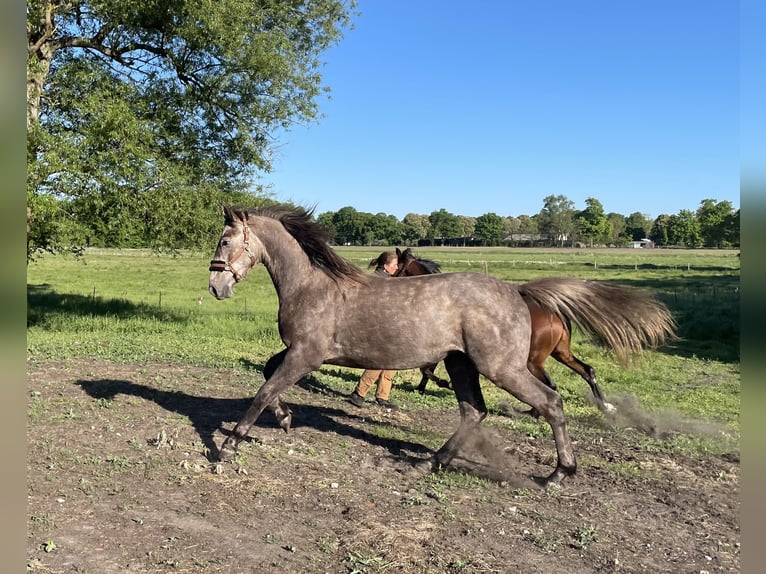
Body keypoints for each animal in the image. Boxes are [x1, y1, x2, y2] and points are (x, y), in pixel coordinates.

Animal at [394, 248, 616, 415]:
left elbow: (427, 370)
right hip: (561, 353)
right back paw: (605, 405)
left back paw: (533, 413)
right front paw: (423, 388)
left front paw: (441, 384)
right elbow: (427, 370)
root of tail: (555, 313)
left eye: (399, 269)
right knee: (587, 371)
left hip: (533, 361)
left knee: (551, 386)